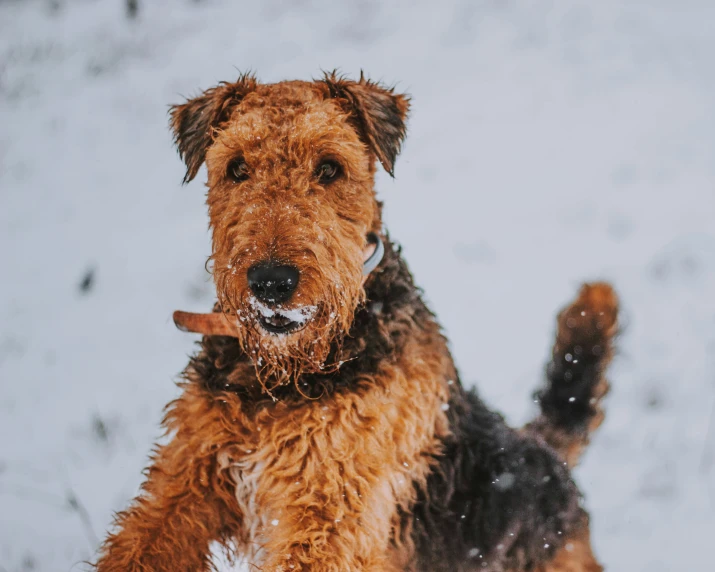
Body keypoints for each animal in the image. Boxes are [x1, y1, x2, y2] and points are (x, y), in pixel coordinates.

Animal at [95, 73, 620, 568]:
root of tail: (546, 453)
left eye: (330, 167)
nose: (271, 283)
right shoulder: (185, 479)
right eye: (236, 168)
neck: (283, 382)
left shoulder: (330, 514)